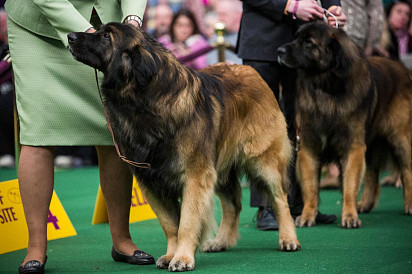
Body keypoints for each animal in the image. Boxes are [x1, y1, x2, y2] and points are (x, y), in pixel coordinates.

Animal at [67, 22, 300, 270]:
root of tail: (250, 70)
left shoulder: (195, 176)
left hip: (264, 161)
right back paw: (221, 241)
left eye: (105, 36)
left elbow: (187, 222)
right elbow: (171, 224)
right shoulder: (152, 181)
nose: (70, 36)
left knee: (280, 199)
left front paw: (183, 258)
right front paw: (172, 254)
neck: (145, 100)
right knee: (233, 205)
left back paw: (288, 238)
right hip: (220, 167)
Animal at [276, 21, 412, 228]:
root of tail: (401, 66)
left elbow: (349, 184)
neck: (327, 88)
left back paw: (409, 205)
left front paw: (349, 216)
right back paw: (365, 204)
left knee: (406, 170)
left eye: (308, 42)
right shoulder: (308, 146)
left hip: (400, 139)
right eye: (296, 37)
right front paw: (308, 215)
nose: (279, 50)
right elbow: (311, 187)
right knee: (372, 172)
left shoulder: (353, 146)